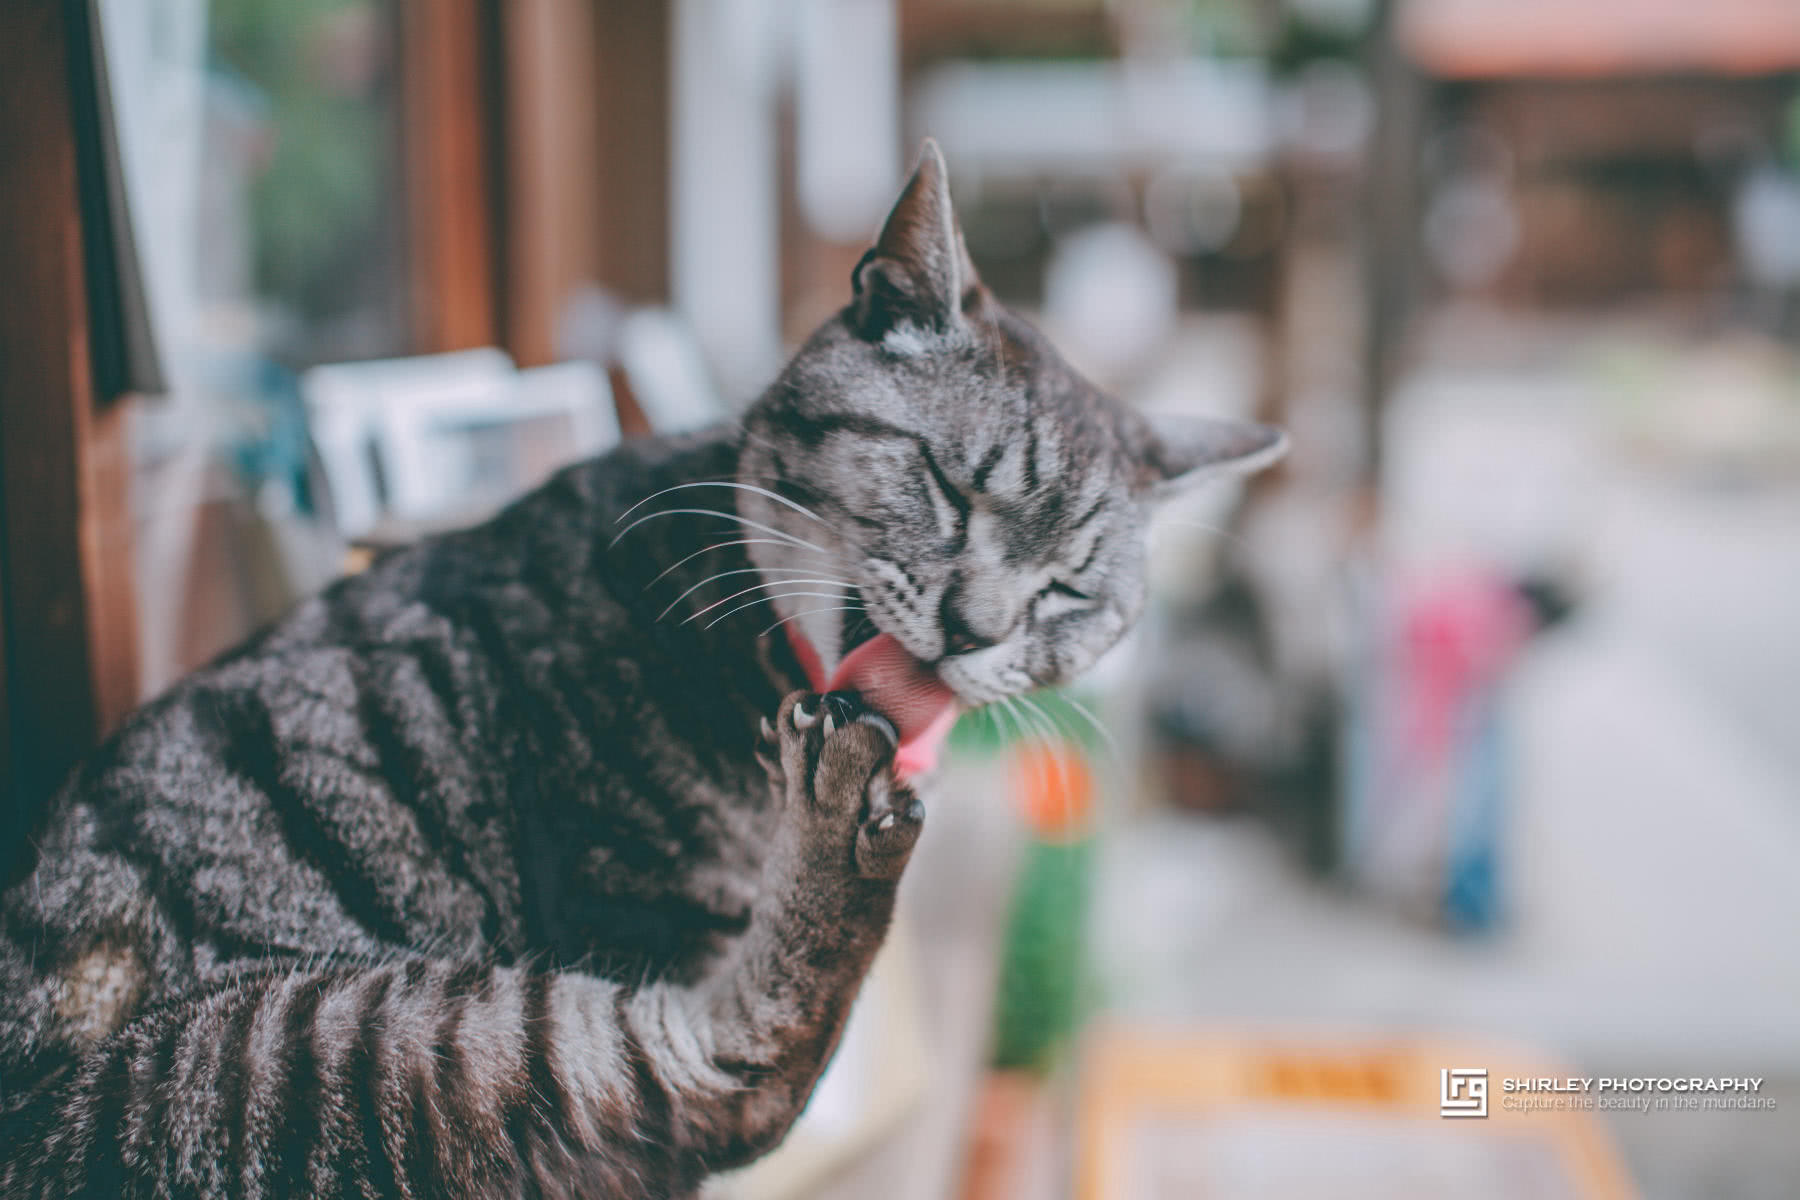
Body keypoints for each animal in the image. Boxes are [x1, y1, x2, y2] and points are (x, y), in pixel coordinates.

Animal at [7, 143, 1288, 1200]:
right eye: (947, 485)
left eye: (1068, 591)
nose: (975, 630)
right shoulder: (633, 914)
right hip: (334, 1054)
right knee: (721, 1087)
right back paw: (843, 829)